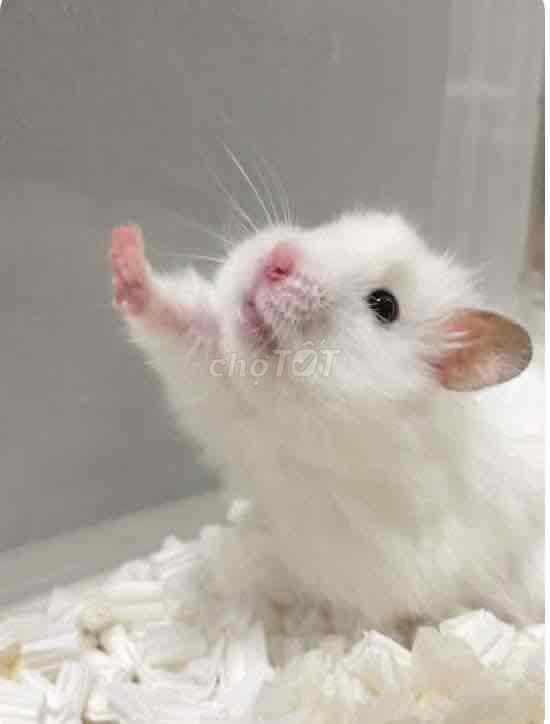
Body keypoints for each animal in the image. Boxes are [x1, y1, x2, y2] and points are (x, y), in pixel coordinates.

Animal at [110, 212, 544, 638]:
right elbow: (185, 326)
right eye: (332, 227)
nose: (276, 260)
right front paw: (124, 249)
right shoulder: (226, 394)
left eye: (384, 305)